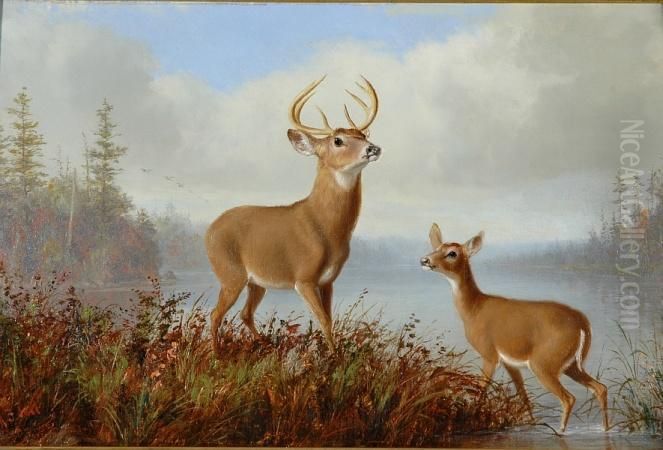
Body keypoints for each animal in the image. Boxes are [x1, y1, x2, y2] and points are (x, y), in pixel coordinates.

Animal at [205, 76, 381, 355]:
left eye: (362, 135)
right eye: (338, 140)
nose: (373, 148)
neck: (326, 227)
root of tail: (208, 230)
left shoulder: (328, 280)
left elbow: (329, 320)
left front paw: (333, 355)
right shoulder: (304, 277)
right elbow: (323, 321)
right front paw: (335, 358)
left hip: (256, 282)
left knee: (244, 313)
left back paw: (264, 345)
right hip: (230, 273)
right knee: (215, 314)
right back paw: (216, 355)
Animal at [419, 224, 609, 433]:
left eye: (452, 253)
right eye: (436, 248)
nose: (424, 260)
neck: (474, 309)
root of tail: (582, 322)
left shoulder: (489, 354)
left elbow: (481, 389)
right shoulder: (509, 362)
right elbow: (523, 395)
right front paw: (532, 423)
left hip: (544, 362)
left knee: (569, 398)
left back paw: (560, 431)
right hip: (570, 363)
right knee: (601, 388)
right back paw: (605, 428)